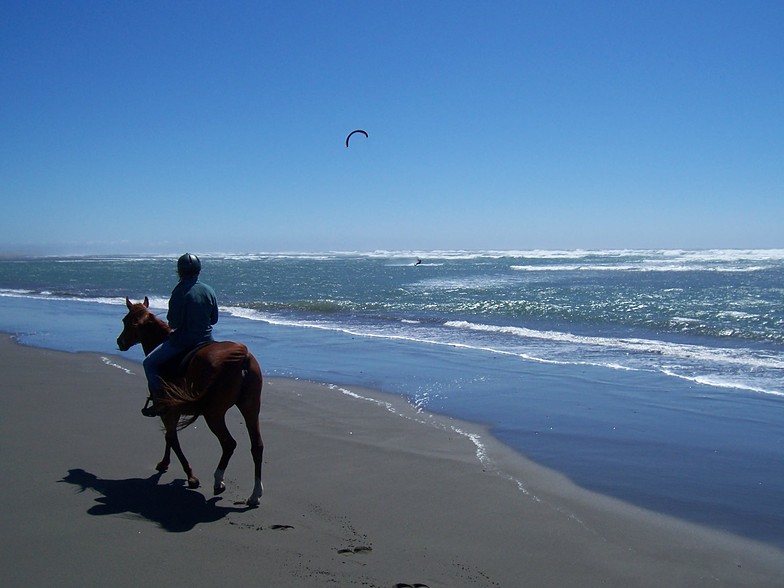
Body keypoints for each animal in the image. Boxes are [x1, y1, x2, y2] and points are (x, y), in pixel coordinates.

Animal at [115, 296, 264, 508]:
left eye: (126, 321)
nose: (119, 341)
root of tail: (242, 356)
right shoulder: (172, 410)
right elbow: (169, 437)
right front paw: (165, 463)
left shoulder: (169, 410)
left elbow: (171, 437)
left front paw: (190, 475)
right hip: (250, 408)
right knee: (256, 446)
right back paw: (255, 494)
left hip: (214, 413)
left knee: (229, 443)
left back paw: (218, 481)